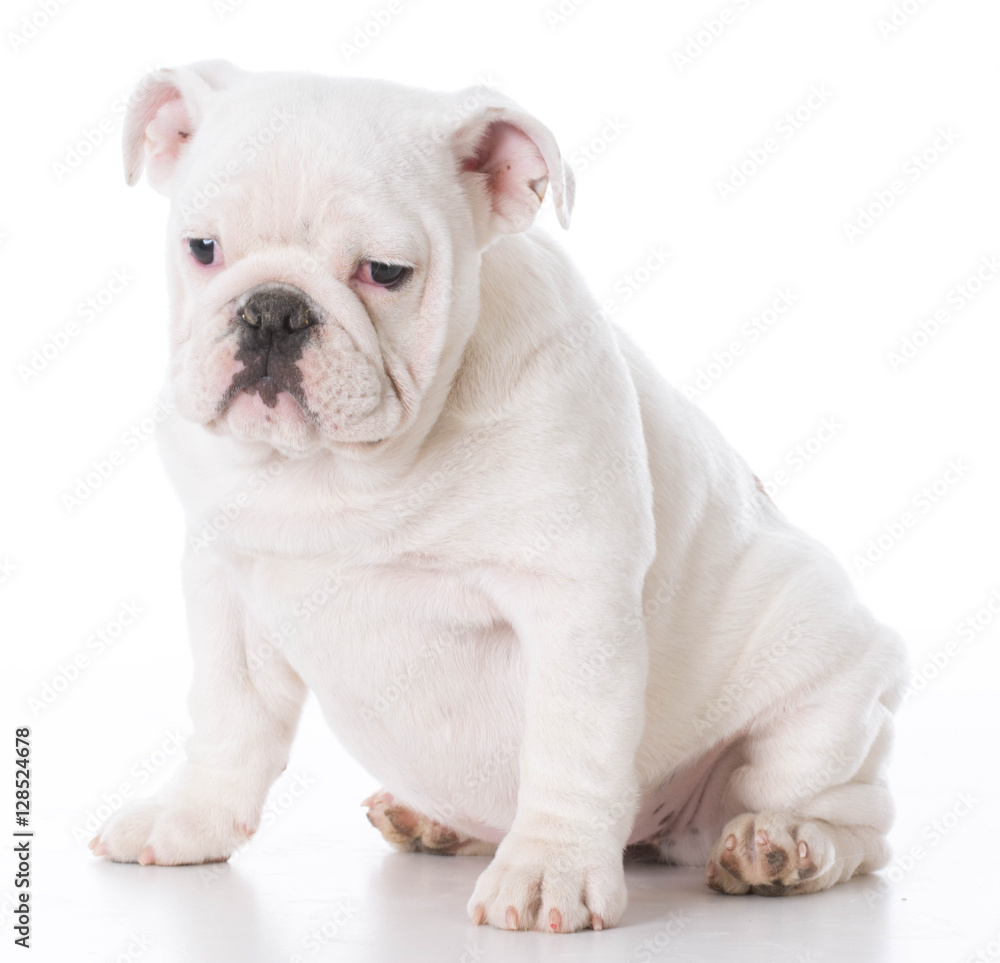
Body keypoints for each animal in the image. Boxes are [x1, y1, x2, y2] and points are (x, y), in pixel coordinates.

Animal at [90, 60, 912, 932]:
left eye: (385, 272)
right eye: (203, 249)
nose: (273, 308)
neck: (342, 469)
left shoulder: (573, 600)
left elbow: (569, 746)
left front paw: (550, 867)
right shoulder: (226, 582)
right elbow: (229, 717)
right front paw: (190, 817)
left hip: (822, 696)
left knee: (855, 819)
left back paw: (782, 846)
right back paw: (434, 821)